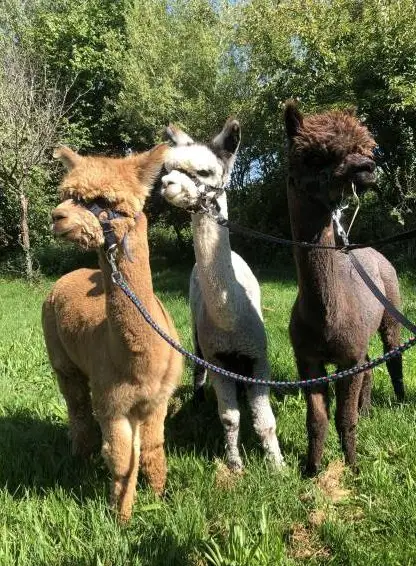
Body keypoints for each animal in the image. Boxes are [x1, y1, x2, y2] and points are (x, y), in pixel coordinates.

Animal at [42, 144, 183, 521]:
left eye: (104, 200)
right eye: (68, 195)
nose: (57, 216)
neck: (139, 361)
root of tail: (70, 275)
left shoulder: (157, 399)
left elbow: (152, 449)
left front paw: (159, 495)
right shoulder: (113, 403)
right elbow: (121, 461)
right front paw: (120, 517)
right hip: (62, 359)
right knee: (77, 408)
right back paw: (79, 457)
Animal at [160, 119, 284, 471]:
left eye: (203, 172)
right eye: (169, 168)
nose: (165, 184)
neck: (230, 319)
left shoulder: (257, 356)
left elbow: (265, 422)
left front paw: (277, 465)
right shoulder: (218, 359)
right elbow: (230, 418)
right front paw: (235, 464)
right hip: (197, 332)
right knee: (198, 365)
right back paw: (198, 399)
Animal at [284, 101, 404, 475]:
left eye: (365, 149)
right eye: (314, 156)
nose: (366, 168)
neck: (326, 316)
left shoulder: (346, 356)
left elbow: (342, 418)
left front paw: (352, 466)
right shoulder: (308, 359)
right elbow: (317, 420)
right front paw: (311, 470)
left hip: (392, 307)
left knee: (392, 355)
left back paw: (400, 400)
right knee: (369, 366)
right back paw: (367, 409)